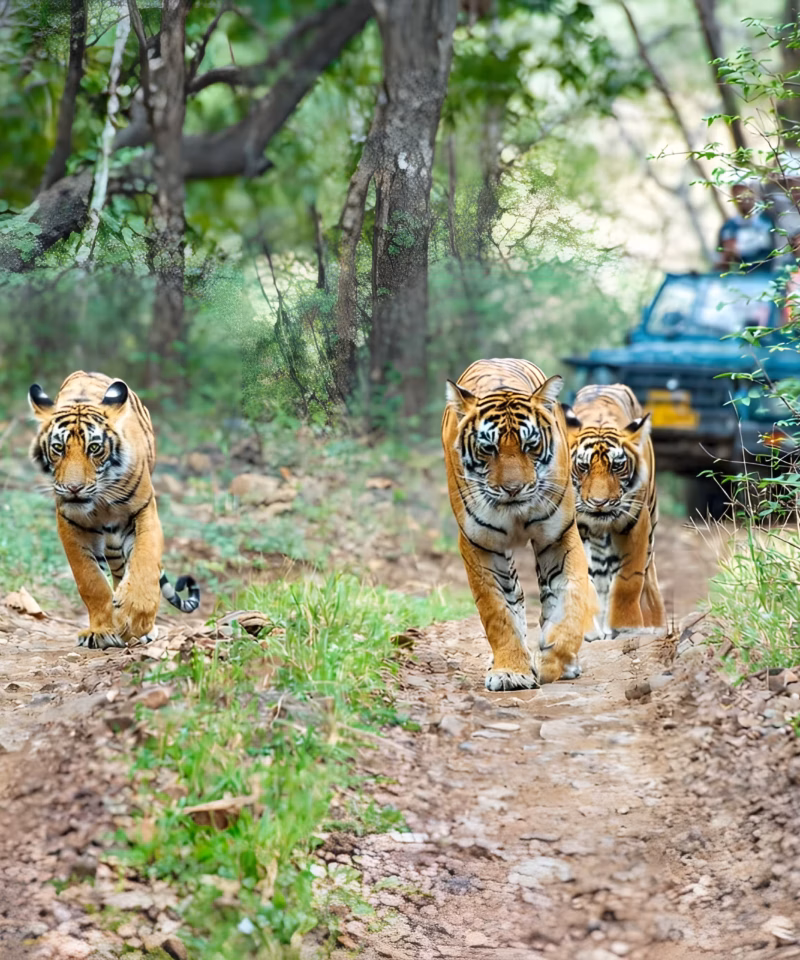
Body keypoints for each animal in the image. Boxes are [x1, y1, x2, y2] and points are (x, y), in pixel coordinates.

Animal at [28, 371, 200, 650]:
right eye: (58, 448)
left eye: (94, 448)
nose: (74, 488)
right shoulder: (70, 523)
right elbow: (91, 580)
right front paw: (102, 630)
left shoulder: (144, 511)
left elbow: (145, 561)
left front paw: (135, 616)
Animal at [442, 358, 592, 691]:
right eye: (488, 448)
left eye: (530, 445)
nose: (513, 489)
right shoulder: (480, 544)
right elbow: (497, 610)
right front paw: (510, 671)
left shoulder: (558, 536)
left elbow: (571, 596)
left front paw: (555, 657)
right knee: (516, 597)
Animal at [562, 383, 666, 640]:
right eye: (583, 466)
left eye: (617, 466)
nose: (599, 502)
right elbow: (584, 578)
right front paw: (588, 630)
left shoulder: (636, 524)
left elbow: (629, 580)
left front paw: (627, 625)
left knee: (648, 575)